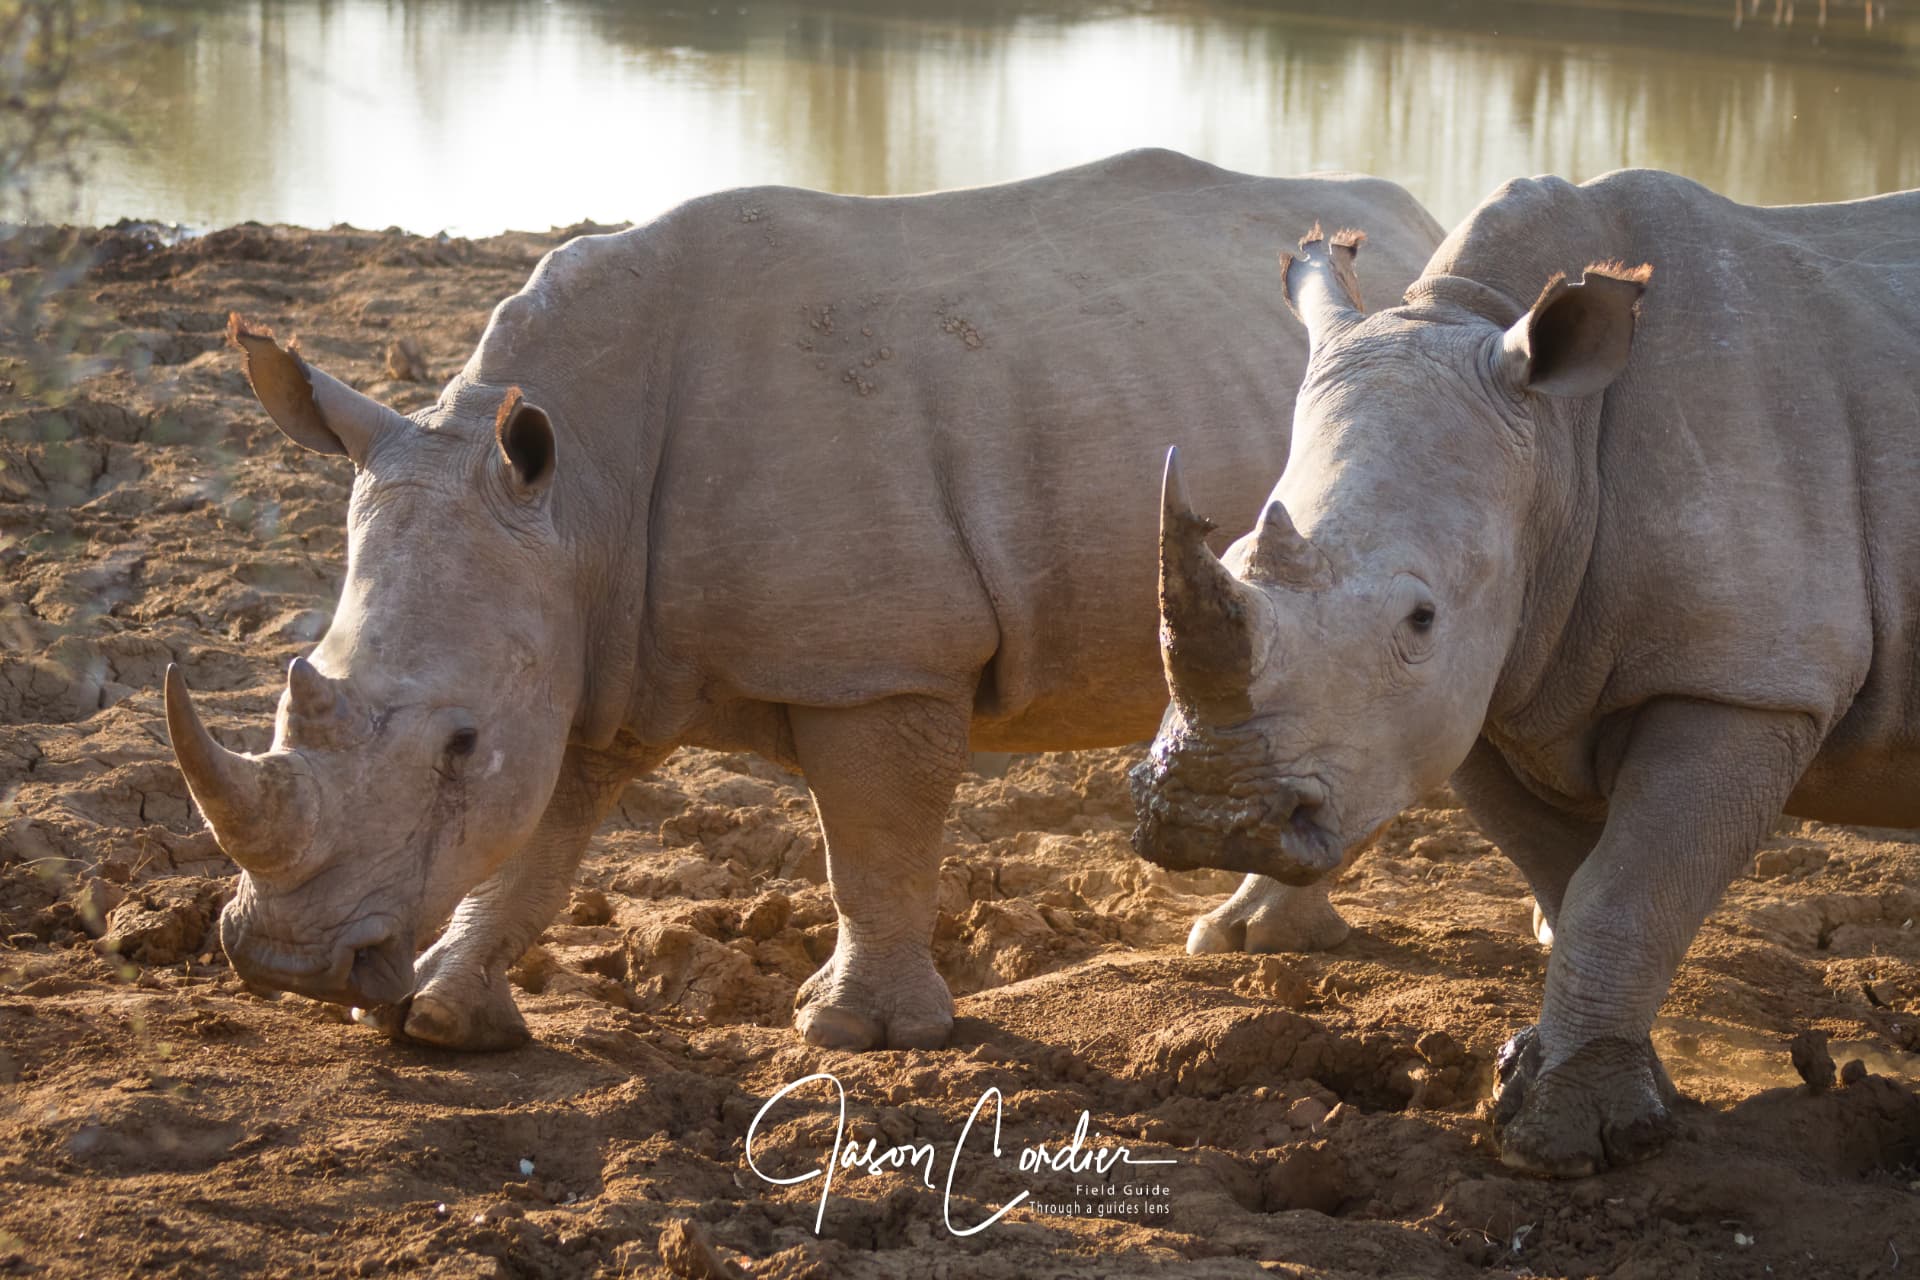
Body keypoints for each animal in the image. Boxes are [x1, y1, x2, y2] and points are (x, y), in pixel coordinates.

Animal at [163, 149, 1444, 1053]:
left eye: (458, 743)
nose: (280, 964)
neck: (574, 489)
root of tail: (1420, 225)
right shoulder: (589, 638)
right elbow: (541, 841)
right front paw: (440, 1018)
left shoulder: (880, 661)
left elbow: (870, 841)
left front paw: (856, 1032)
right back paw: (1250, 936)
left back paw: (1244, 937)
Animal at [1131, 169, 1920, 1176]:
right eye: (1230, 557)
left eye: (1420, 619)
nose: (1209, 818)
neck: (1556, 443)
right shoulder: (1486, 687)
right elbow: (1568, 880)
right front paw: (1579, 1091)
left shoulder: (1748, 682)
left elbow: (1626, 898)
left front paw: (1559, 1142)